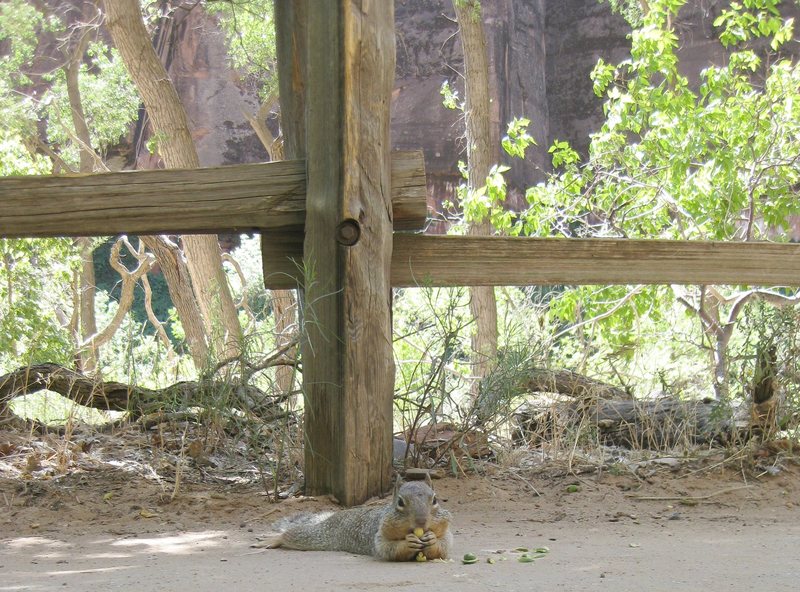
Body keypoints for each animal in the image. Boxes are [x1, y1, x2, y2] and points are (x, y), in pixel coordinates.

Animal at [268, 474, 454, 560]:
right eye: (400, 502)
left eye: (435, 500)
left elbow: (443, 547)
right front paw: (408, 543)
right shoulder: (378, 535)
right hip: (318, 536)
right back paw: (273, 539)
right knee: (294, 534)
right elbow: (386, 549)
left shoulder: (447, 534)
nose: (421, 521)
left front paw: (432, 539)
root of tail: (332, 516)